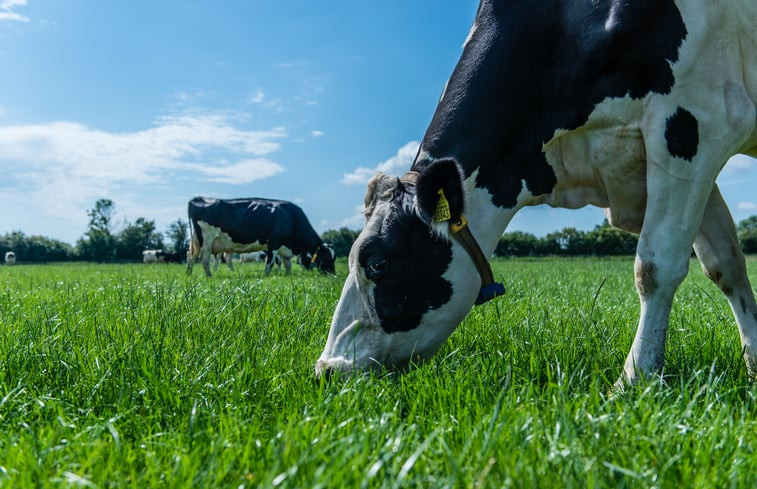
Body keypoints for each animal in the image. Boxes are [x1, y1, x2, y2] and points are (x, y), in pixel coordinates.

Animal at [186, 196, 334, 276]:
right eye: (326, 257)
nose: (333, 274)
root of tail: (197, 198)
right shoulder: (274, 242)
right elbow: (270, 263)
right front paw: (268, 276)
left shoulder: (284, 249)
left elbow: (288, 265)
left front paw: (287, 275)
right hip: (206, 239)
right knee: (205, 259)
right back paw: (209, 276)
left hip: (196, 240)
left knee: (191, 256)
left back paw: (189, 274)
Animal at [316, 0, 756, 388]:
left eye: (377, 263)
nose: (327, 370)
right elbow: (726, 266)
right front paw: (753, 365)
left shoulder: (693, 123)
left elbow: (655, 267)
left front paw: (636, 379)